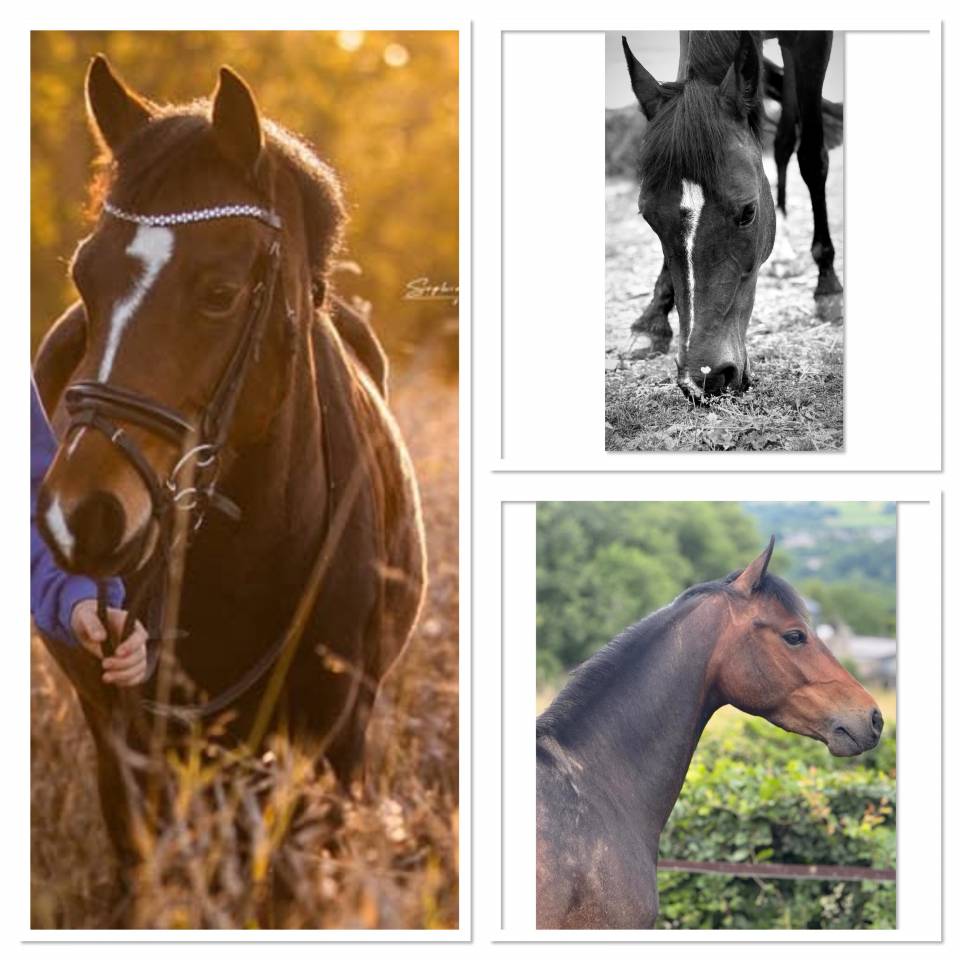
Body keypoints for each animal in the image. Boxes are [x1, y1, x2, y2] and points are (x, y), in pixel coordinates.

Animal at [621, 31, 842, 399]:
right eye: (648, 217)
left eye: (748, 212)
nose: (703, 378)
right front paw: (652, 319)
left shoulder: (811, 41)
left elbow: (812, 157)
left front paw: (828, 286)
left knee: (787, 143)